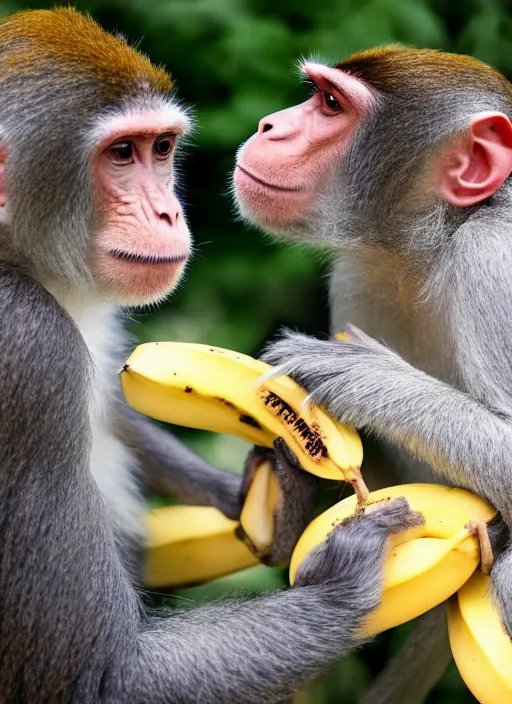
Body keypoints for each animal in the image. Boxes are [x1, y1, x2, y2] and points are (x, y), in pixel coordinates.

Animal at [234, 45, 512, 704]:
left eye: (332, 104)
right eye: (317, 94)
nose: (268, 125)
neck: (435, 243)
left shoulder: (493, 259)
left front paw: (359, 375)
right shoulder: (358, 272)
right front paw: (291, 475)